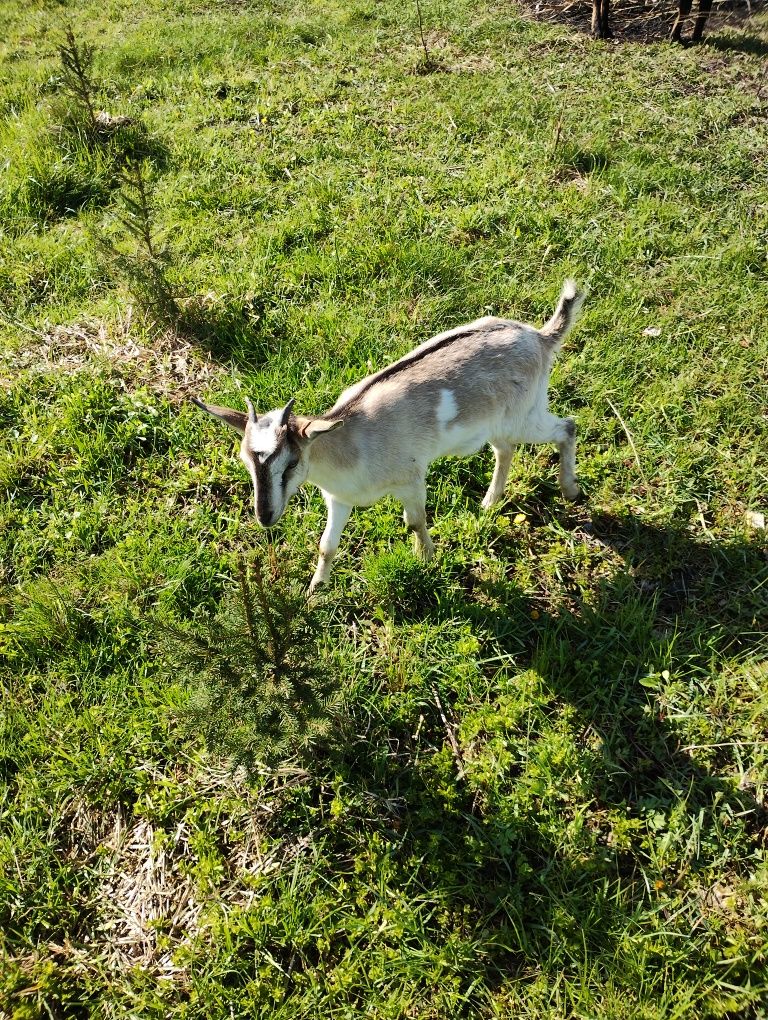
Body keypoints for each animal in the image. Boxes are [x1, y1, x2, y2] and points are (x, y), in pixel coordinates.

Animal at [191, 283, 579, 595]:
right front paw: (315, 591)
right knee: (505, 449)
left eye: (291, 463)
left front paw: (426, 561)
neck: (350, 440)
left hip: (525, 416)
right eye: (245, 461)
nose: (265, 516)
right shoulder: (339, 498)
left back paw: (569, 491)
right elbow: (326, 545)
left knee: (567, 427)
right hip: (501, 425)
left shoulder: (411, 479)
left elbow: (415, 522)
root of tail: (540, 338)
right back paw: (489, 503)